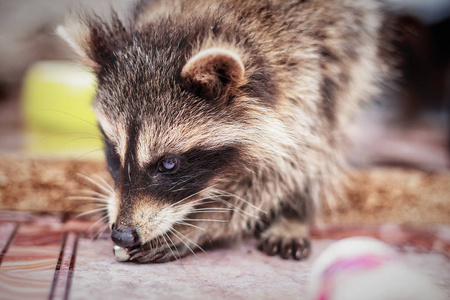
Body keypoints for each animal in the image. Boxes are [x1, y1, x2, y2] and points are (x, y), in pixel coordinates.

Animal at [59, 0, 390, 262]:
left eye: (169, 164)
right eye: (114, 153)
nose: (123, 234)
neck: (198, 16)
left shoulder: (308, 75)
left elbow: (283, 172)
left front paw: (201, 223)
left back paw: (294, 215)